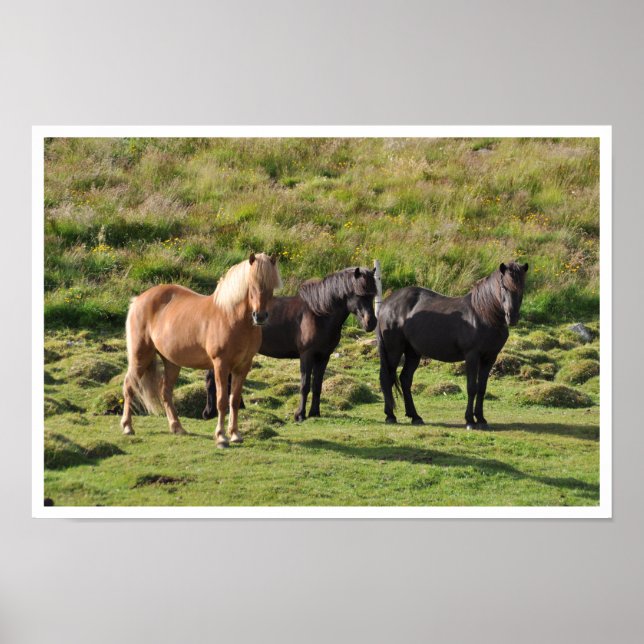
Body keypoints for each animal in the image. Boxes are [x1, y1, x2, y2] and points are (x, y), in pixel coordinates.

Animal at [120, 253, 282, 448]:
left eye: (271, 286)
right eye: (252, 284)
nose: (260, 316)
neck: (231, 317)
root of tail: (138, 300)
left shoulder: (243, 366)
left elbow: (234, 400)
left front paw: (235, 434)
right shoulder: (220, 365)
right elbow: (221, 400)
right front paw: (221, 437)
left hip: (171, 362)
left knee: (165, 391)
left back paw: (177, 427)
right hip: (140, 356)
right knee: (129, 385)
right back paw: (127, 427)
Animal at [202, 267, 378, 422]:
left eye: (373, 294)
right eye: (359, 294)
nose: (371, 323)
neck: (319, 314)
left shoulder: (323, 357)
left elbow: (317, 385)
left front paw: (315, 412)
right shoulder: (306, 355)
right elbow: (305, 385)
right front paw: (300, 414)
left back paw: (238, 406)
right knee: (213, 378)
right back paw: (210, 412)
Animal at [377, 261, 528, 429]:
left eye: (522, 287)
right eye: (504, 287)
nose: (512, 317)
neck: (483, 314)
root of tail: (387, 303)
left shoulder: (490, 358)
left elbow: (482, 388)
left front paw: (481, 419)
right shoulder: (472, 356)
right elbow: (472, 387)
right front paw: (470, 421)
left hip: (413, 352)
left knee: (405, 379)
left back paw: (415, 417)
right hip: (393, 350)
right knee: (386, 377)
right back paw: (390, 416)